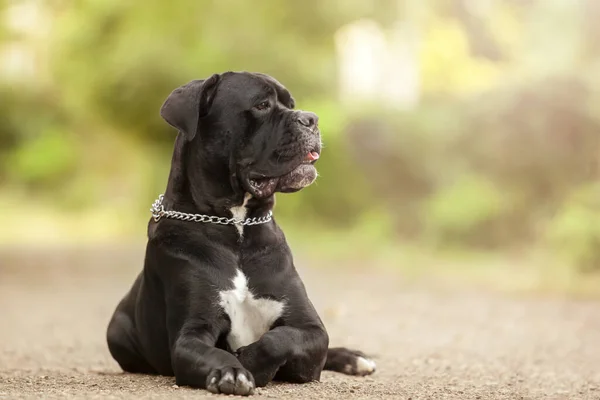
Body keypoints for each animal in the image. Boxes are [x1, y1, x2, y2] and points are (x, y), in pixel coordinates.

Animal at [105, 72, 372, 396]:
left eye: (291, 104)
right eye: (261, 105)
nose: (311, 118)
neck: (238, 228)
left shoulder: (311, 328)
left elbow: (279, 340)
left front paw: (248, 360)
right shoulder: (190, 335)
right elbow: (216, 352)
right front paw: (231, 370)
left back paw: (354, 358)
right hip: (117, 332)